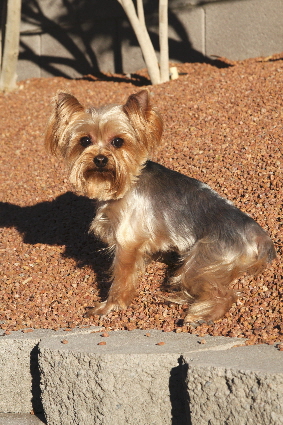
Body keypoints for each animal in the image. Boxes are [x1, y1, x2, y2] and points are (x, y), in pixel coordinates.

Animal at [46, 88, 278, 322]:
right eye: (85, 140)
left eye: (118, 141)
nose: (100, 159)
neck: (124, 183)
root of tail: (260, 238)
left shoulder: (127, 241)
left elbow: (121, 278)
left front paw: (110, 306)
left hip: (204, 259)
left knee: (223, 294)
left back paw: (198, 316)